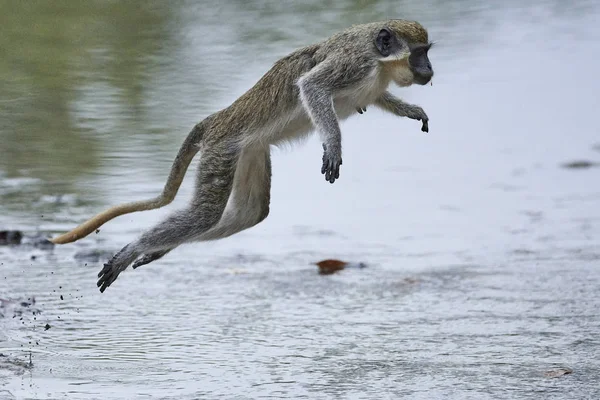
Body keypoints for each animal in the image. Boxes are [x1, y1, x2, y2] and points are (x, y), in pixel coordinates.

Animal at [48, 18, 432, 290]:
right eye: (419, 53)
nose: (430, 70)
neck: (379, 62)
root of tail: (217, 119)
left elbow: (375, 97)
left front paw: (411, 110)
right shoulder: (354, 63)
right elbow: (312, 85)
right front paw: (333, 145)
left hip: (249, 152)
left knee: (249, 213)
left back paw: (158, 249)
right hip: (222, 149)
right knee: (204, 215)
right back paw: (133, 249)